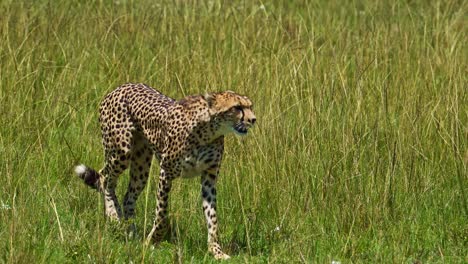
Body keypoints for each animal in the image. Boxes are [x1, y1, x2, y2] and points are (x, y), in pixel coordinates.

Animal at [74, 83, 256, 260]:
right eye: (237, 107)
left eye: (250, 106)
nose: (253, 119)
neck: (209, 130)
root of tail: (118, 87)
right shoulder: (166, 173)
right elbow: (161, 214)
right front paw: (152, 240)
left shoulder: (209, 179)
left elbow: (212, 218)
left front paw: (216, 251)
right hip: (121, 152)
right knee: (105, 178)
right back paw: (113, 215)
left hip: (141, 167)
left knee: (128, 197)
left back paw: (131, 232)